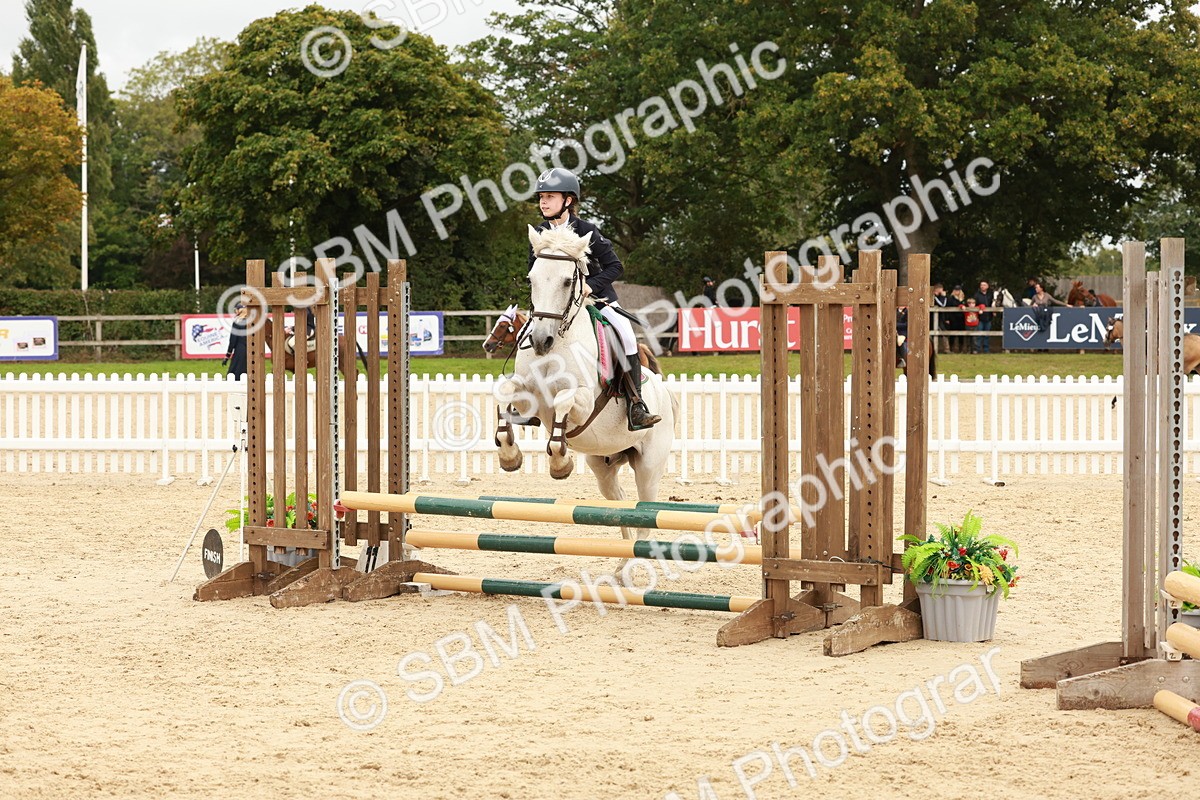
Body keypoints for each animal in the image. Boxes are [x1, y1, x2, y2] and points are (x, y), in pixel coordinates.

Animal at [495, 226, 678, 549]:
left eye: (567, 281)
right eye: (531, 278)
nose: (540, 341)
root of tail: (664, 393)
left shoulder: (583, 401)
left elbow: (563, 403)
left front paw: (560, 462)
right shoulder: (529, 396)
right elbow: (504, 392)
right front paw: (509, 456)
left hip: (649, 466)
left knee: (645, 513)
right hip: (603, 464)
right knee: (620, 504)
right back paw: (622, 560)